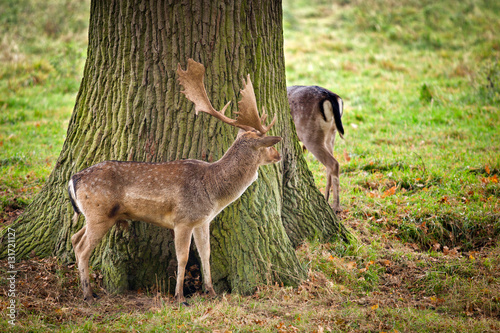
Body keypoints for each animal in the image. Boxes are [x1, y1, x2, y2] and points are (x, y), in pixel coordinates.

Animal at [67, 59, 282, 304]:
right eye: (268, 145)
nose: (278, 155)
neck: (213, 190)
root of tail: (74, 178)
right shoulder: (182, 219)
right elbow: (183, 257)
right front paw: (180, 296)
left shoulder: (202, 221)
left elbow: (205, 254)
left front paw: (211, 291)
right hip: (100, 213)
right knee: (83, 248)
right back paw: (88, 294)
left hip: (94, 216)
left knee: (74, 238)